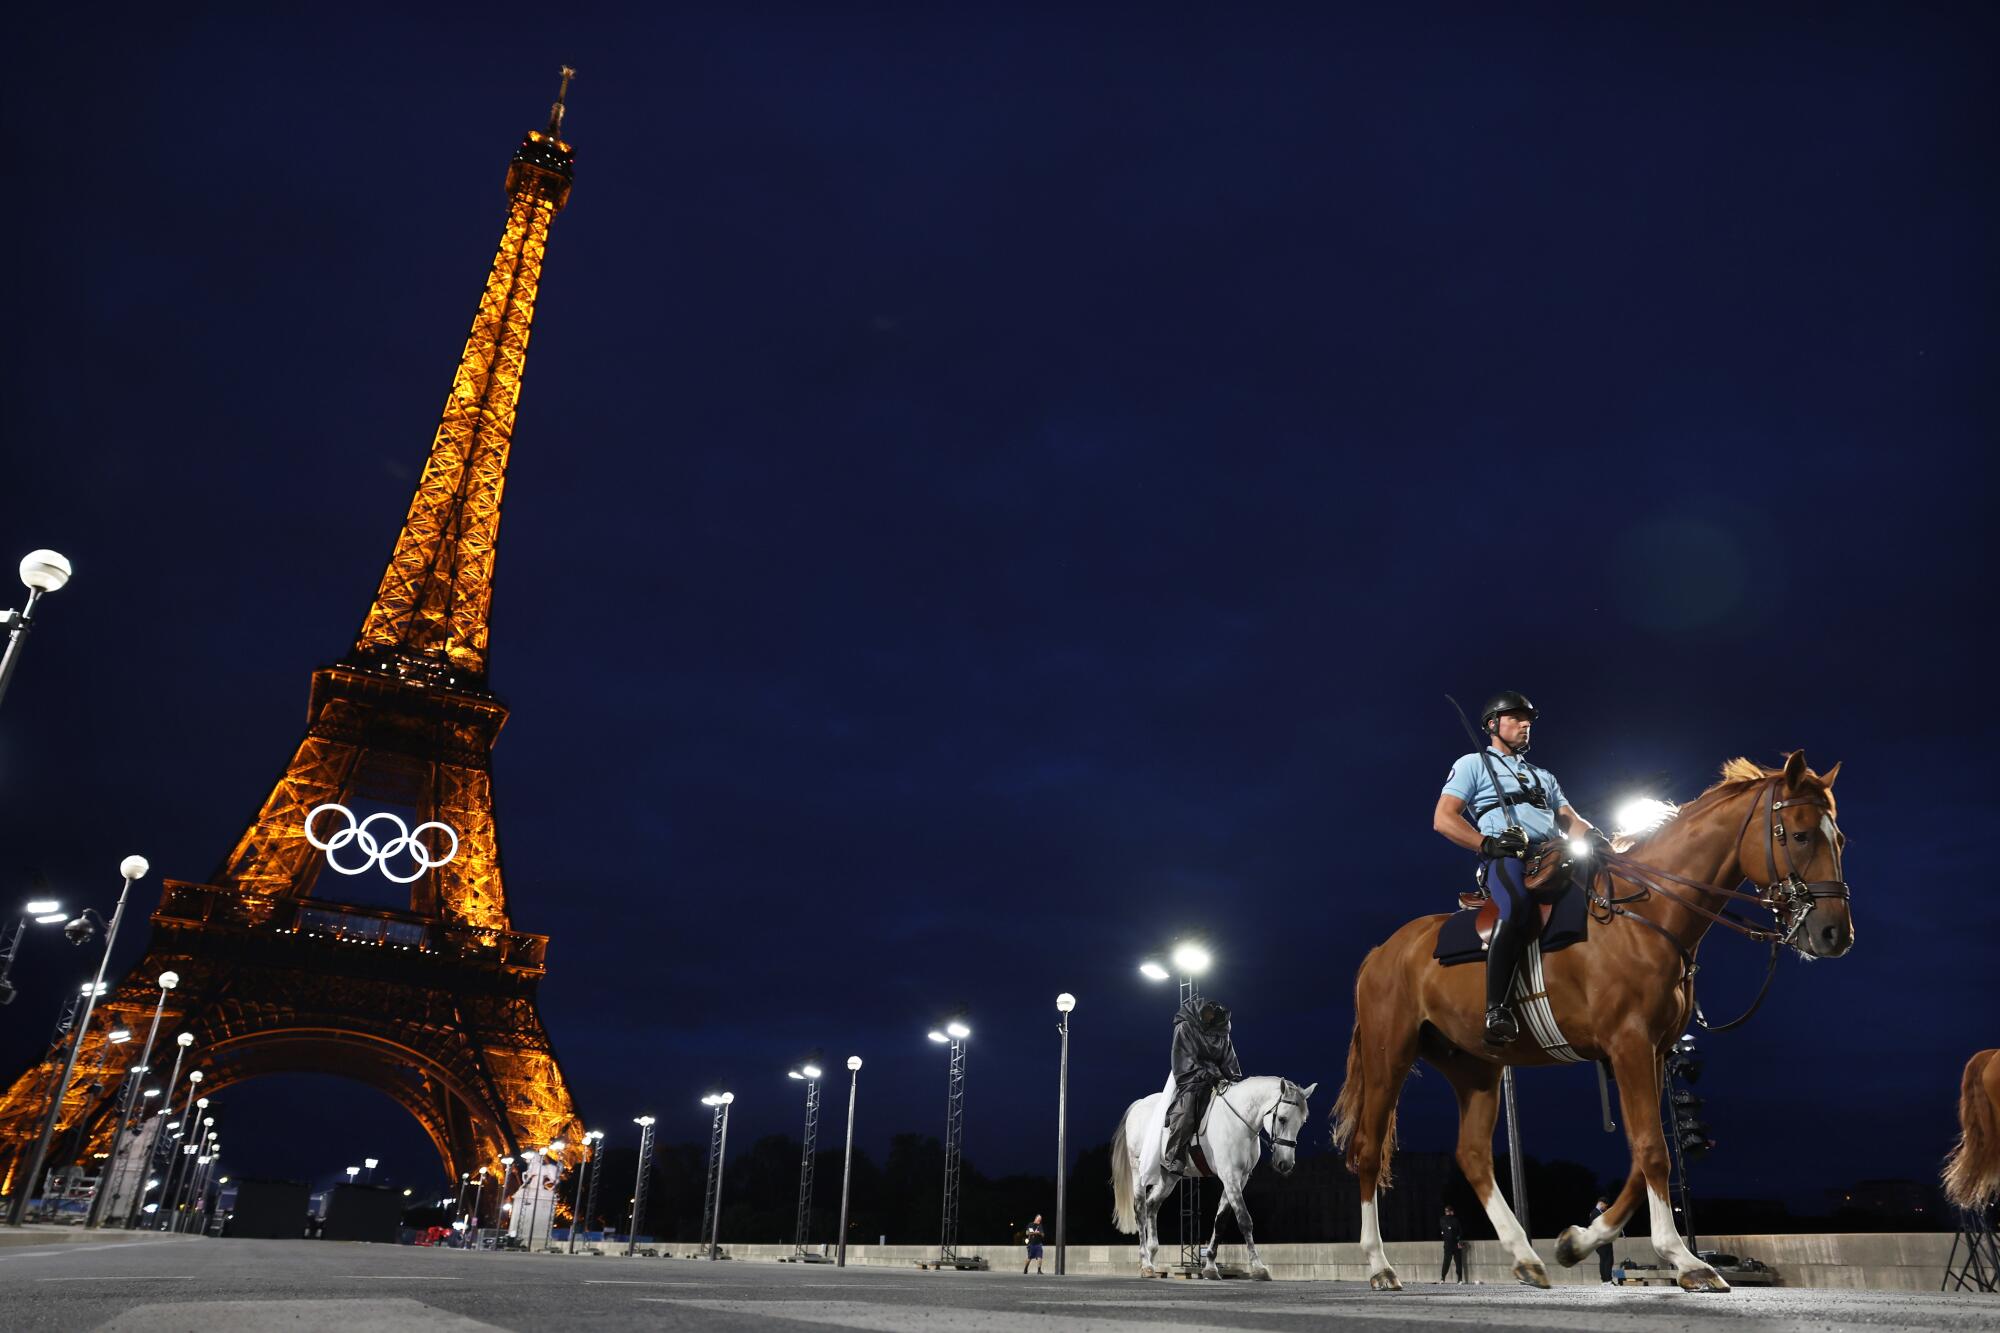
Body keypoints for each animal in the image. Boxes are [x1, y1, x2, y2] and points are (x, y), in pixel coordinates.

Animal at [1112, 1072, 1312, 1280]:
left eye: (1302, 1122)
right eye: (1282, 1119)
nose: (1285, 1164)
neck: (1239, 1122)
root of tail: (1140, 1104)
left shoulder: (1239, 1179)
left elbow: (1221, 1220)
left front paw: (1210, 1267)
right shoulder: (1230, 1175)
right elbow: (1244, 1220)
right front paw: (1258, 1267)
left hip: (1170, 1175)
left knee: (1152, 1205)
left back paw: (1152, 1256)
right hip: (1138, 1169)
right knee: (1140, 1209)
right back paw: (1145, 1264)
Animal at [1336, 756, 1848, 1288]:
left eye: (1841, 839)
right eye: (1800, 834)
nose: (1835, 932)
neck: (1646, 912)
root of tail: (1382, 950)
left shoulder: (1652, 1050)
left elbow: (1642, 1154)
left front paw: (1578, 1241)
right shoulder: (1629, 1043)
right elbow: (1653, 1149)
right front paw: (1683, 1259)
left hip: (1476, 1066)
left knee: (1473, 1155)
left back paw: (1525, 1255)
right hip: (1389, 1056)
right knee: (1368, 1151)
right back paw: (1380, 1265)